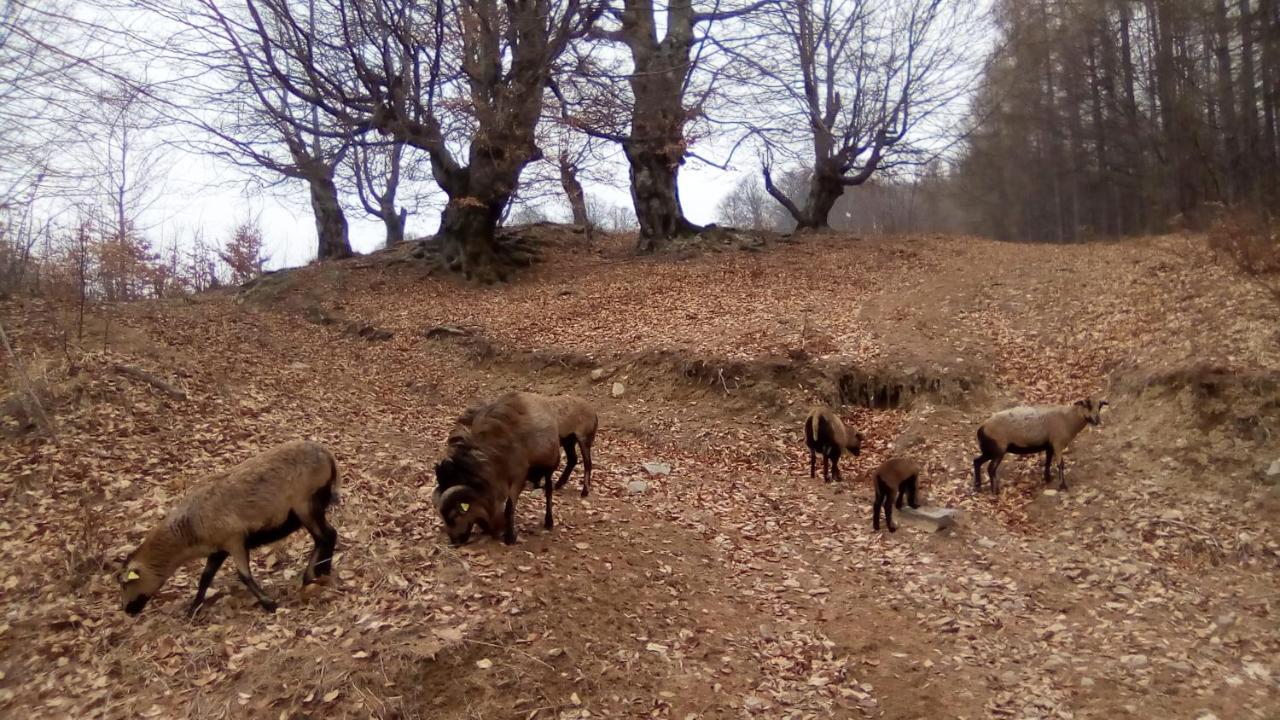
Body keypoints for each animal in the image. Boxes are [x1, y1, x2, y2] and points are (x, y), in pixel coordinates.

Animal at [118, 438, 340, 617]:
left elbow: (244, 575)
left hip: (306, 504)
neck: (189, 529)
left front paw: (269, 604)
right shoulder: (218, 550)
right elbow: (205, 577)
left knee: (326, 535)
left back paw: (311, 577)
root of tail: (328, 456)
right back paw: (321, 571)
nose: (128, 610)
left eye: (125, 583)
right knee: (326, 536)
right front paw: (193, 610)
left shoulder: (235, 540)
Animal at [432, 392, 558, 543]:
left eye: (454, 515)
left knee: (549, 491)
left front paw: (510, 537)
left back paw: (549, 522)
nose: (454, 541)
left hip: (549, 467)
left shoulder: (517, 477)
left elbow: (509, 507)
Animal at [972, 397, 1105, 491]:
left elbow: (1048, 462)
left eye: (1099, 406)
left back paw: (978, 486)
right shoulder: (1057, 443)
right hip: (998, 449)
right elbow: (1061, 464)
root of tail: (981, 430)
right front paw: (1063, 486)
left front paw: (1048, 478)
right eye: (1087, 405)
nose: (1097, 420)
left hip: (989, 450)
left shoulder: (1049, 445)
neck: (1068, 419)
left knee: (976, 461)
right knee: (990, 468)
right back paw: (995, 491)